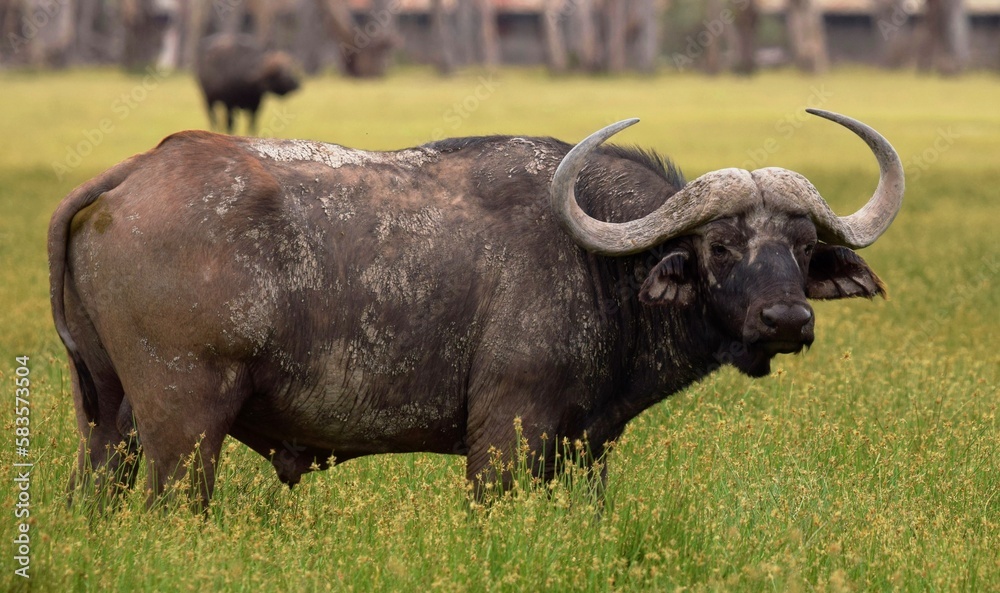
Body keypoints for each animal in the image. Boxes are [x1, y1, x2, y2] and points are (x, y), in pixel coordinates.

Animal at [48, 110, 908, 504]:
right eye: (721, 245)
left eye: (801, 245)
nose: (786, 321)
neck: (596, 263)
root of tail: (135, 173)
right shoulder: (504, 437)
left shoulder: (586, 447)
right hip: (185, 427)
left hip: (108, 425)